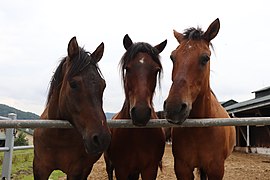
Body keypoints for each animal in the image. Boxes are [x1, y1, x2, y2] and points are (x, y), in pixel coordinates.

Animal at [33, 37, 110, 180]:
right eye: (73, 84)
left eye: (103, 85)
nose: (102, 138)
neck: (58, 137)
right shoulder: (40, 168)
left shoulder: (76, 171)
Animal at [163, 18, 235, 180]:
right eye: (172, 57)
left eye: (205, 58)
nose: (174, 108)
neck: (200, 128)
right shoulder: (182, 168)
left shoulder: (216, 169)